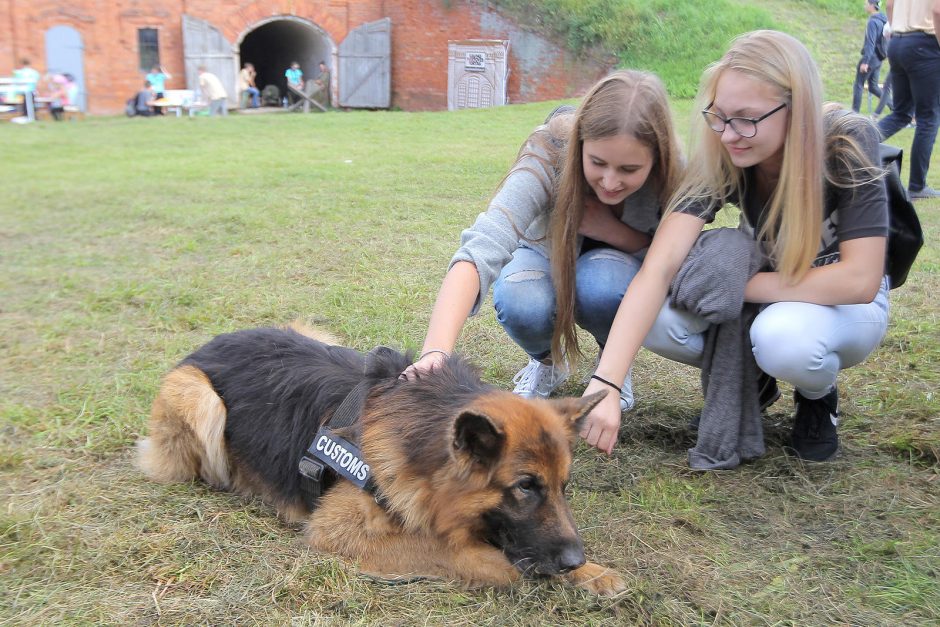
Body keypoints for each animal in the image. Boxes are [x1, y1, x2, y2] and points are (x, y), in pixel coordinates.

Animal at [138, 326, 624, 596]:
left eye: (563, 487)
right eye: (525, 487)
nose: (574, 560)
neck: (424, 440)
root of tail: (206, 345)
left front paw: (594, 573)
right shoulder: (338, 531)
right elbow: (464, 551)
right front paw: (520, 571)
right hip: (200, 400)